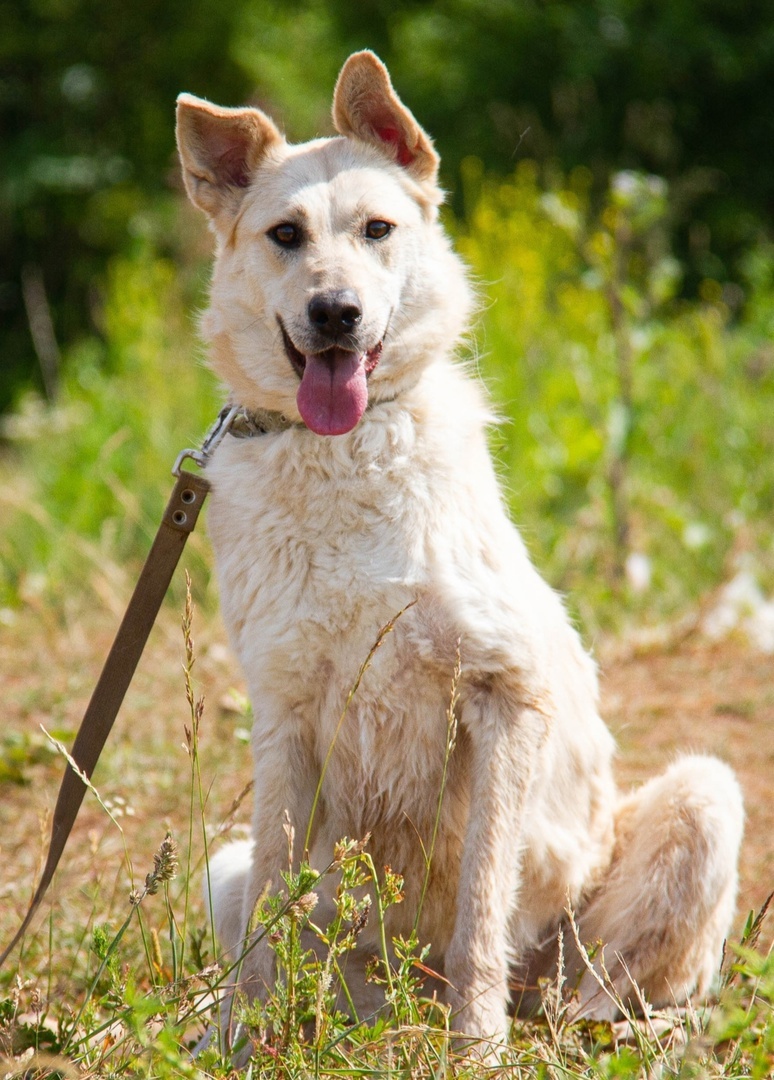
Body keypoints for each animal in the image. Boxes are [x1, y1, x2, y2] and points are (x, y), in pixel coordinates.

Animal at [174, 52, 742, 1054]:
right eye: (285, 236)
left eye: (378, 230)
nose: (335, 313)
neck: (344, 455)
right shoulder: (283, 718)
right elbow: (273, 906)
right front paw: (239, 1039)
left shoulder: (502, 696)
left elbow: (482, 897)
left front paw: (475, 1043)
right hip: (224, 871)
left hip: (701, 801)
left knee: (608, 988)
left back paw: (572, 1026)